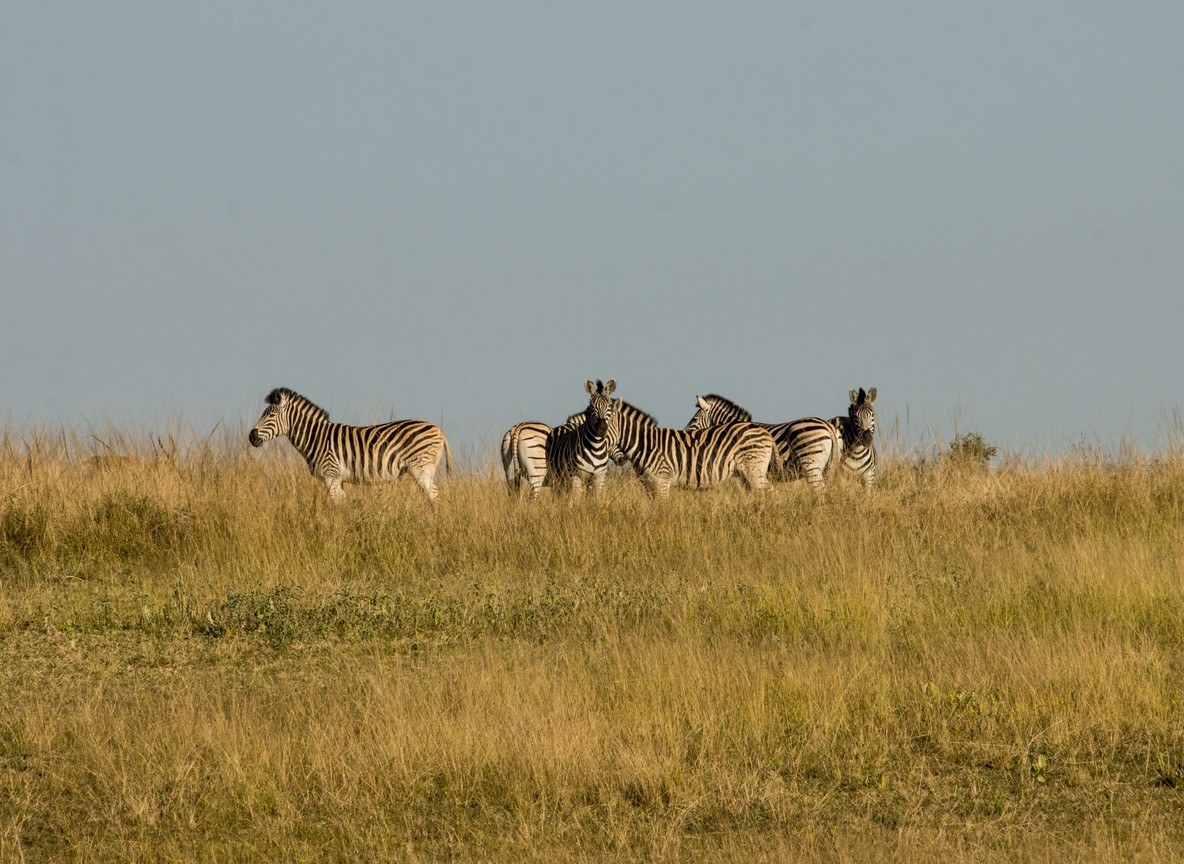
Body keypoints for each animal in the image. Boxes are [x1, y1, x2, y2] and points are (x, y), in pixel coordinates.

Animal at [248, 387, 453, 502]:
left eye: (270, 415)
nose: (251, 436)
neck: (316, 437)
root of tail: (438, 429)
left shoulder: (331, 475)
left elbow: (335, 505)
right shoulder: (338, 479)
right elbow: (342, 504)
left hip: (420, 468)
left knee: (434, 494)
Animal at [609, 417, 776, 500]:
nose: (621, 461)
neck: (646, 443)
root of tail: (763, 431)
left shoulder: (662, 481)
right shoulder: (648, 485)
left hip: (754, 468)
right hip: (746, 474)